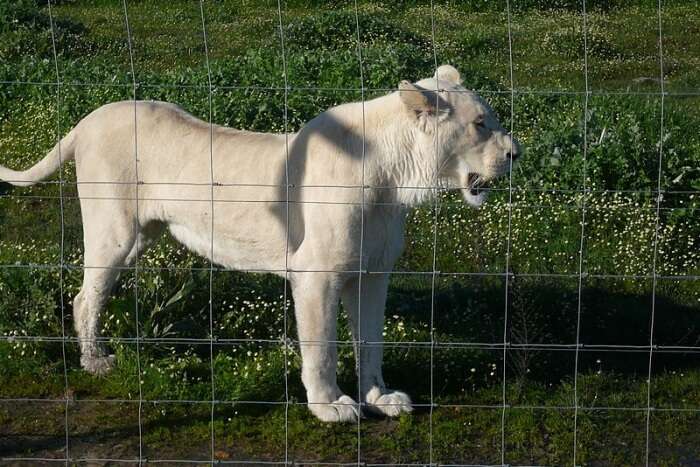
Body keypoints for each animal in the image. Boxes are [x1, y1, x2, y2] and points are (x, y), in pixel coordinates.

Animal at [0, 66, 516, 424]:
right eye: (480, 124)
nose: (517, 153)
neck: (397, 180)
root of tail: (88, 118)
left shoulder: (372, 275)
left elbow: (371, 340)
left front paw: (380, 398)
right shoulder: (316, 275)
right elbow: (322, 348)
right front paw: (330, 407)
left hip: (141, 235)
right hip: (115, 232)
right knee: (84, 296)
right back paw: (95, 362)